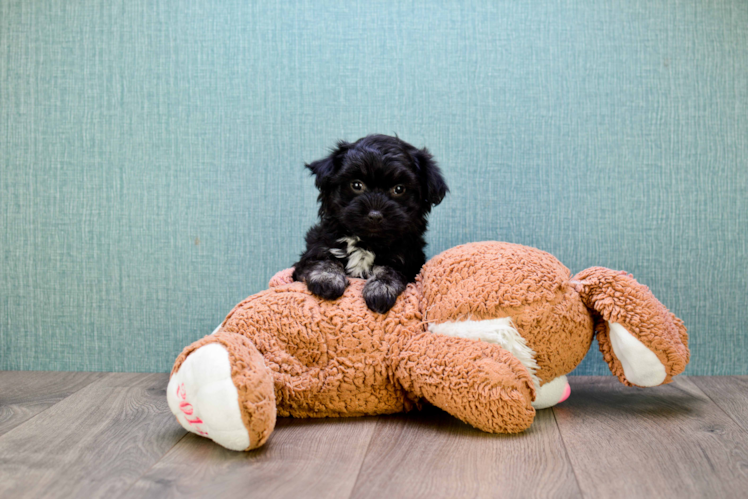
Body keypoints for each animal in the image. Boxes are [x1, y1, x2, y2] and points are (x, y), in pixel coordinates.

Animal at [292, 133, 448, 312]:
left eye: (399, 189)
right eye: (356, 185)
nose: (375, 215)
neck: (366, 243)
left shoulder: (408, 261)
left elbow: (389, 270)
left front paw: (381, 288)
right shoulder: (315, 251)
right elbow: (322, 260)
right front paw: (327, 278)